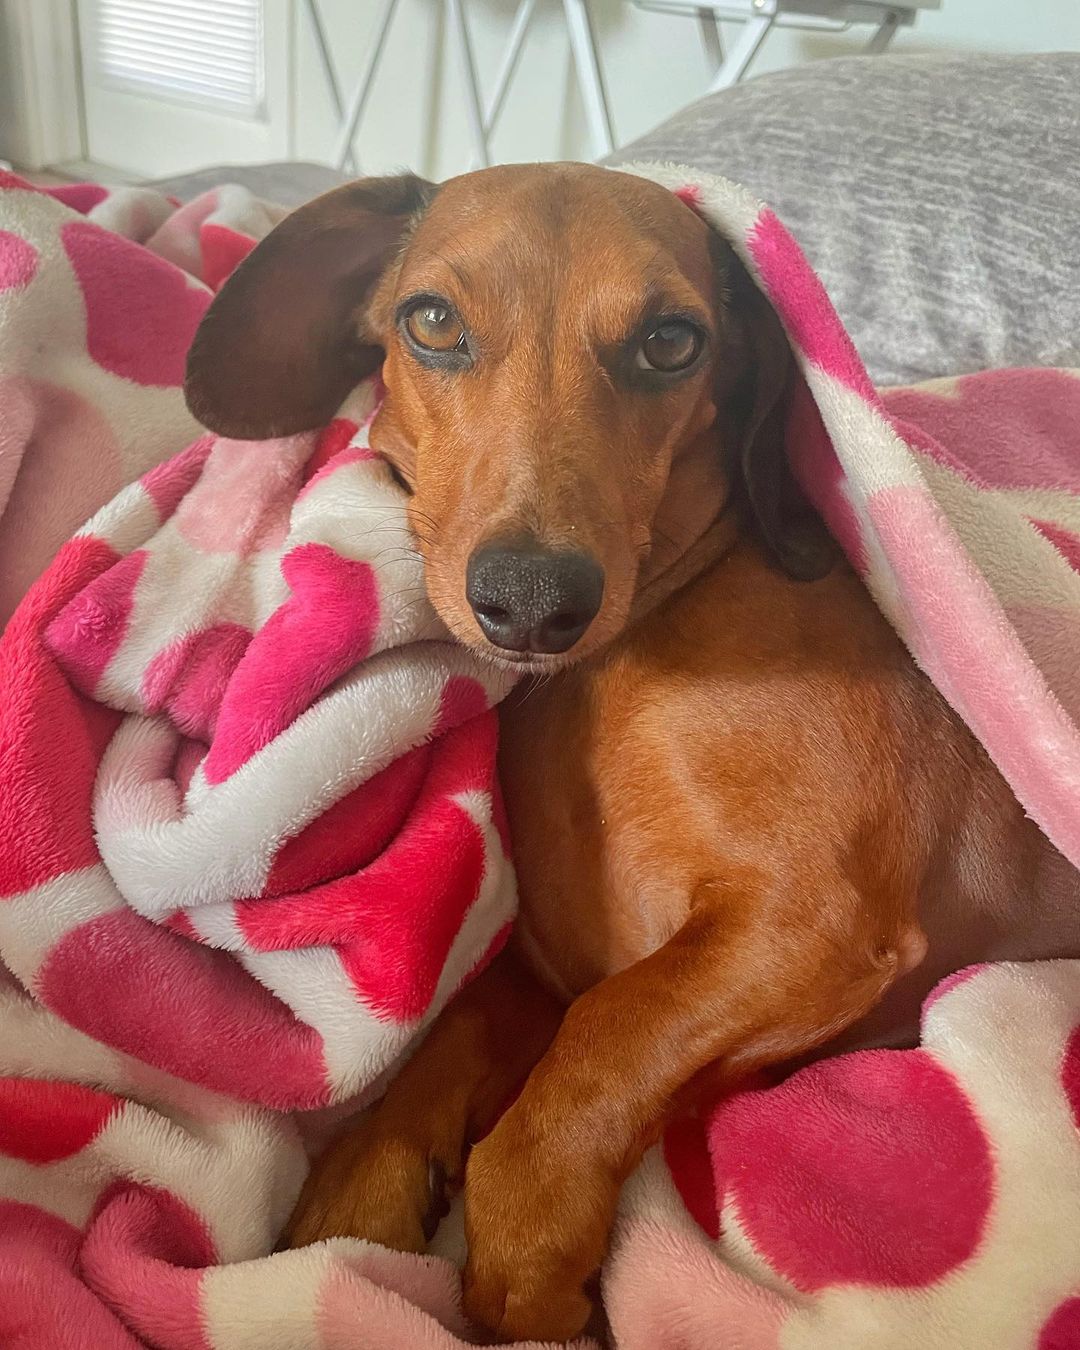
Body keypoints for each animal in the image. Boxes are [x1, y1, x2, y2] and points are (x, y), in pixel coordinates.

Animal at [183, 163, 1069, 1344]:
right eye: (432, 322)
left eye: (669, 342)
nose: (532, 601)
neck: (621, 661)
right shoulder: (543, 969)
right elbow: (457, 1034)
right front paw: (356, 1202)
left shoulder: (813, 926)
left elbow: (597, 1046)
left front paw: (529, 1265)